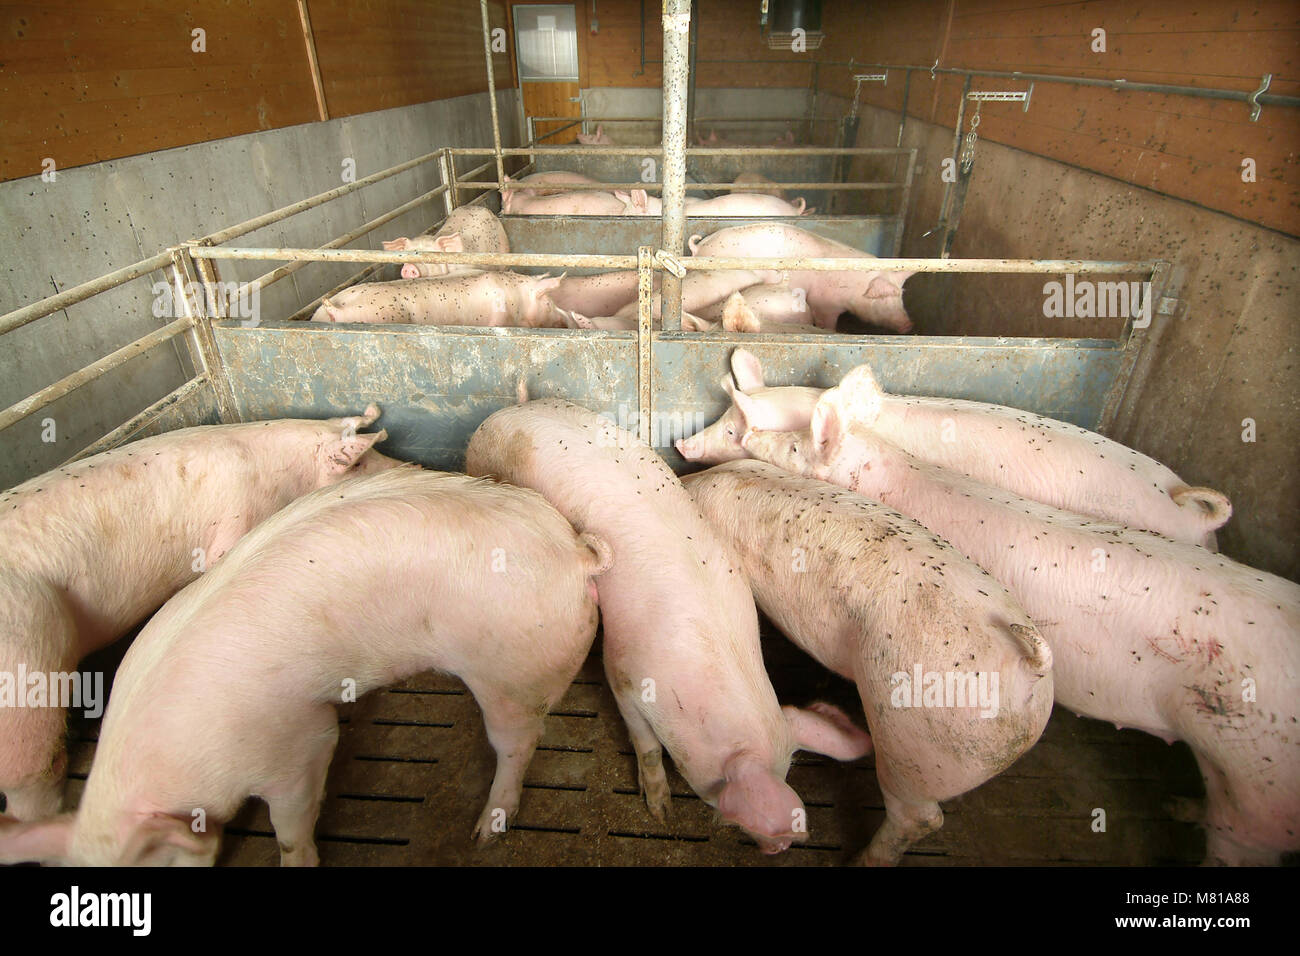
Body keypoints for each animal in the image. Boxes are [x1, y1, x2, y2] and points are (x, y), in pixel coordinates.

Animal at [0, 466, 609, 865]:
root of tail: (575, 552)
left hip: (514, 670)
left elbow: (291, 819)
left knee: (516, 744)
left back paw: (485, 832)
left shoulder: (291, 744)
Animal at [689, 223, 915, 332]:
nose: (908, 325)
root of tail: (699, 247)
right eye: (883, 296)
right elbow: (827, 323)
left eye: (901, 295)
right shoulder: (825, 303)